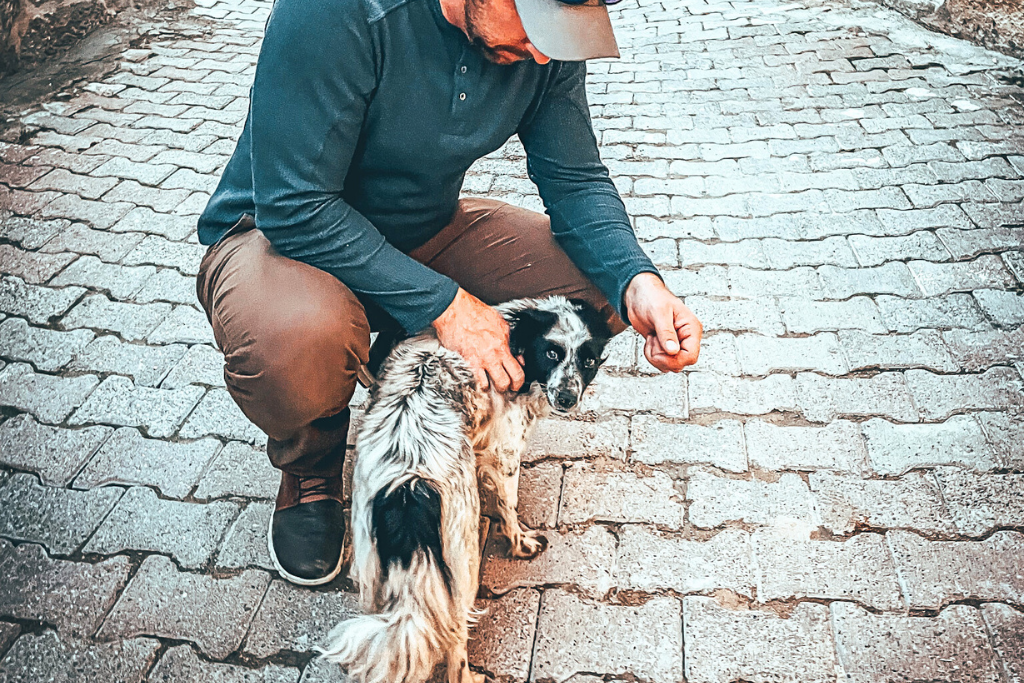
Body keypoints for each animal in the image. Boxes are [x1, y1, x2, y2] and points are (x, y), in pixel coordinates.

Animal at [321, 296, 606, 683]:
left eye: (588, 360)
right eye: (551, 353)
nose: (566, 397)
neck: (516, 331)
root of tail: (409, 485)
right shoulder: (506, 453)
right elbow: (509, 507)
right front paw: (520, 542)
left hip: (371, 562)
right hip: (462, 563)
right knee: (454, 642)